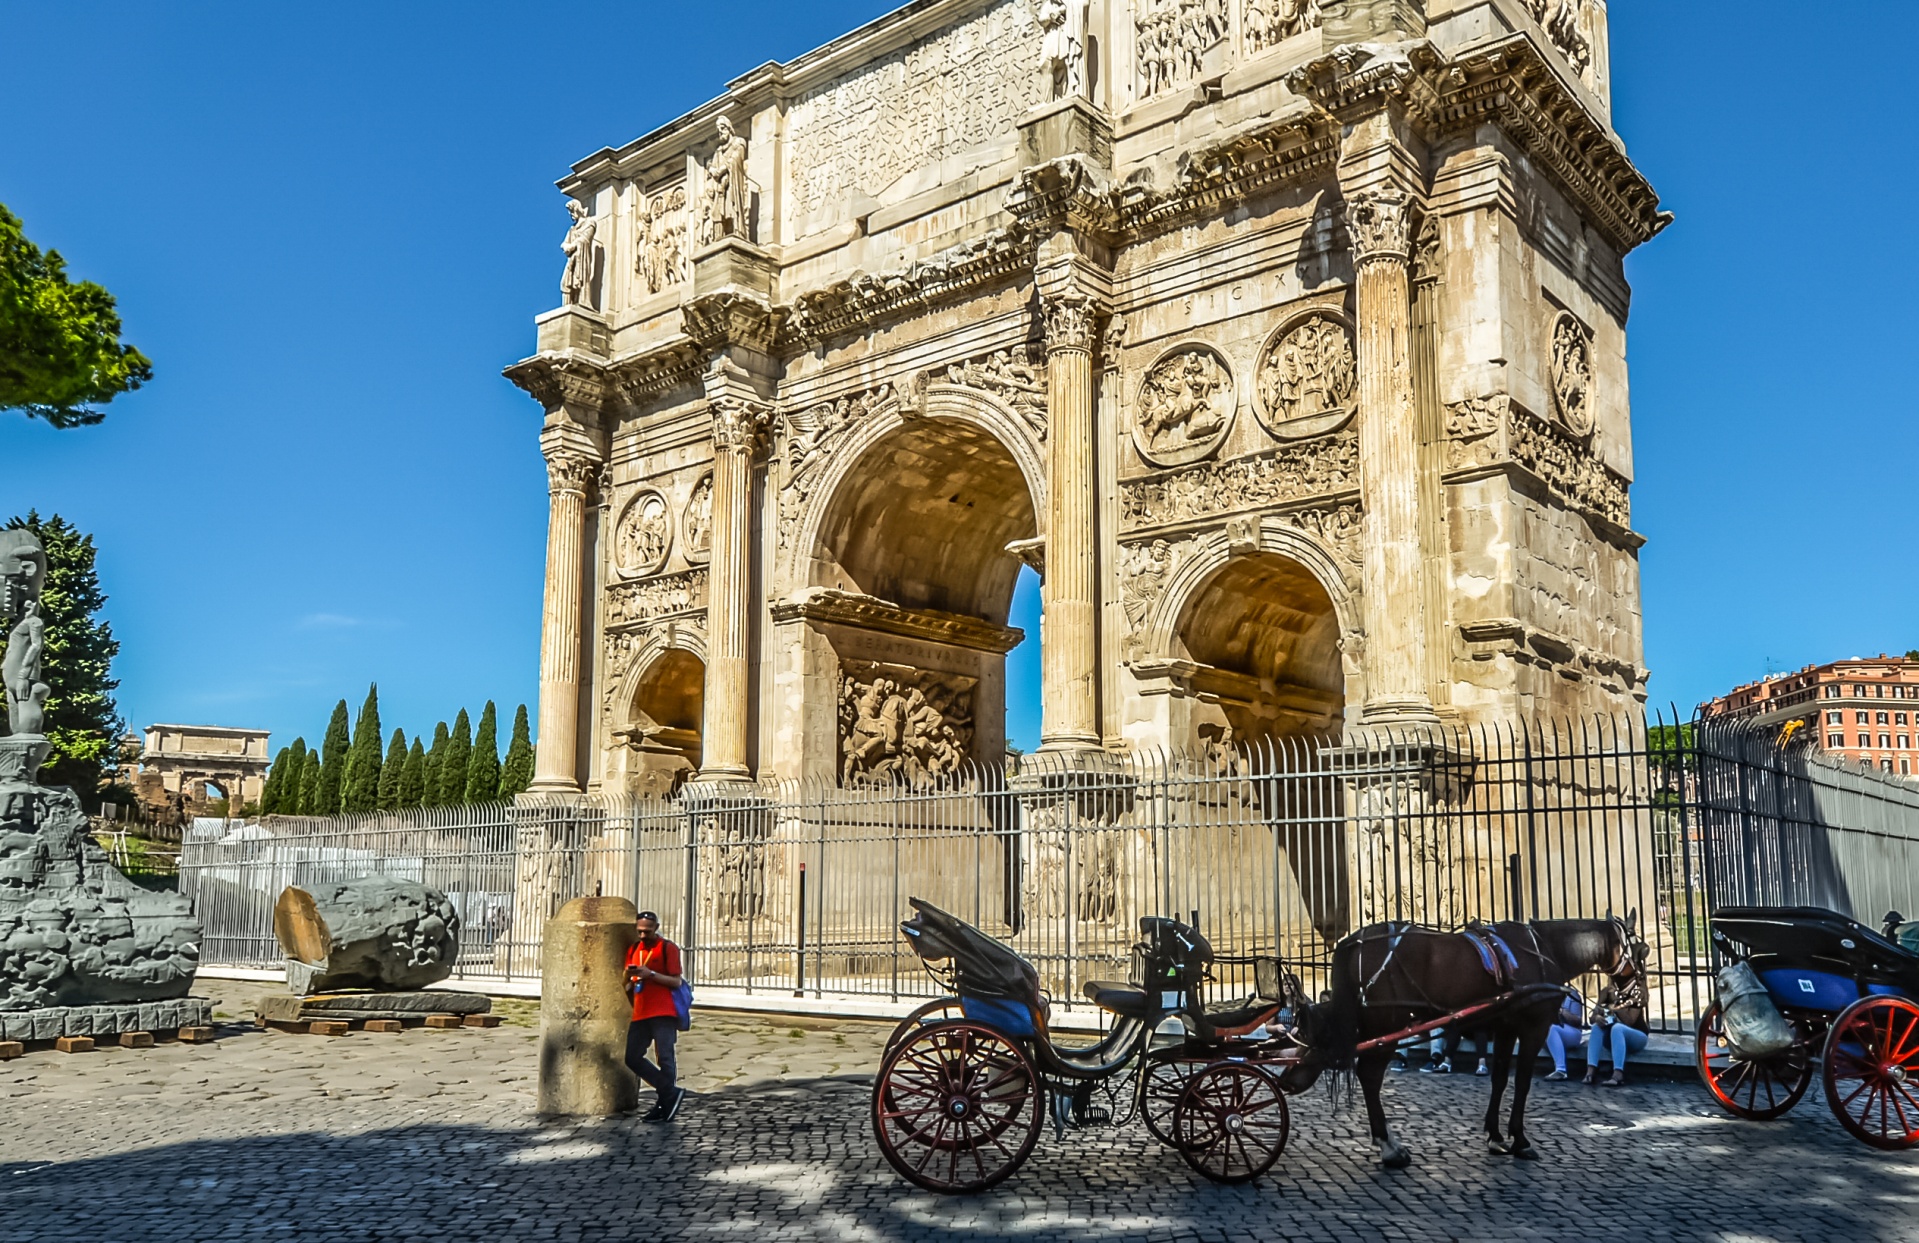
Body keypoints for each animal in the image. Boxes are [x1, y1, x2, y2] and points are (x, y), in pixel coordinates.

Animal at [1297, 913, 1642, 1166]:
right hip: (1388, 1024)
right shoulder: (1534, 1026)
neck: (1545, 948)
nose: (1635, 996)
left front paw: (1496, 1136)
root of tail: (1352, 941)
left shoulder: (1505, 1027)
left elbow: (1500, 1078)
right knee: (1369, 1075)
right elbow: (1523, 1082)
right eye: (1641, 950)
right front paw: (1520, 1140)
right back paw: (1389, 1146)